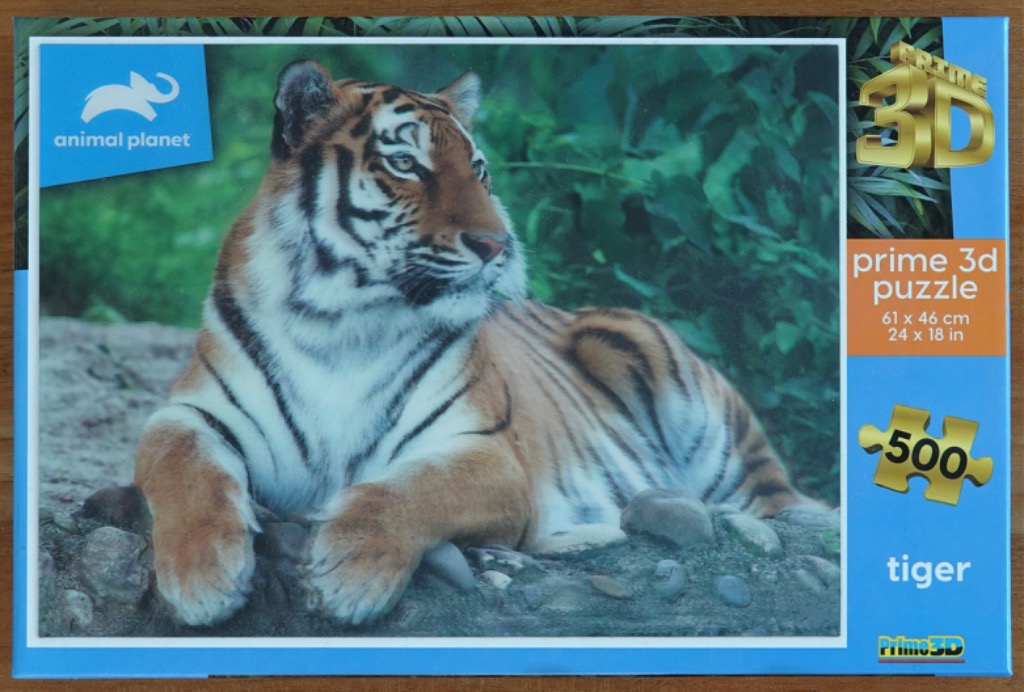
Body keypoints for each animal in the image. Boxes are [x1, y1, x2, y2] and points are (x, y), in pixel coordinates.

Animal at [134, 59, 820, 628]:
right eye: (405, 164)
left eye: (480, 170)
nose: (498, 245)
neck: (341, 320)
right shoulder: (190, 413)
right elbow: (184, 469)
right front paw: (201, 579)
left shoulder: (488, 452)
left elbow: (407, 490)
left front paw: (347, 576)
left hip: (662, 371)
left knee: (777, 503)